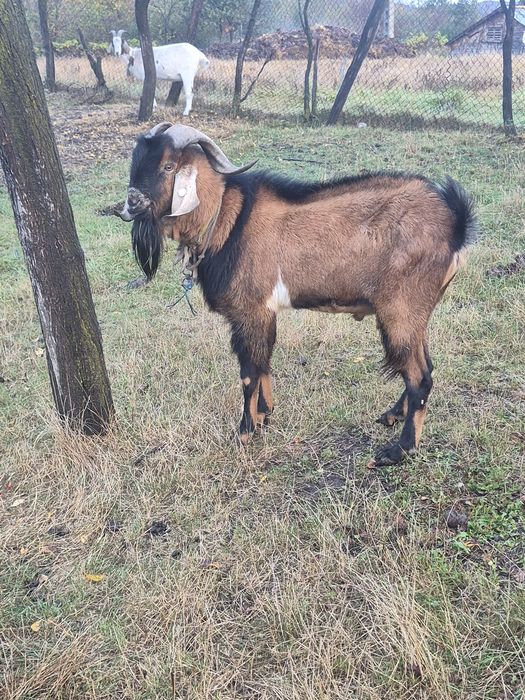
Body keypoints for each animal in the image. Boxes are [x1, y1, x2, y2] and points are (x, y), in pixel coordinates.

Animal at [116, 122, 477, 466]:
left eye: (168, 166)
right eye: (135, 163)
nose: (130, 205)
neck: (228, 218)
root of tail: (455, 223)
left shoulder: (250, 310)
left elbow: (249, 372)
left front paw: (245, 432)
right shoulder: (263, 313)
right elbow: (263, 363)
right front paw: (264, 415)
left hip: (400, 308)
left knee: (420, 377)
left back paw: (398, 450)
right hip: (416, 313)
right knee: (425, 365)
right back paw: (392, 416)